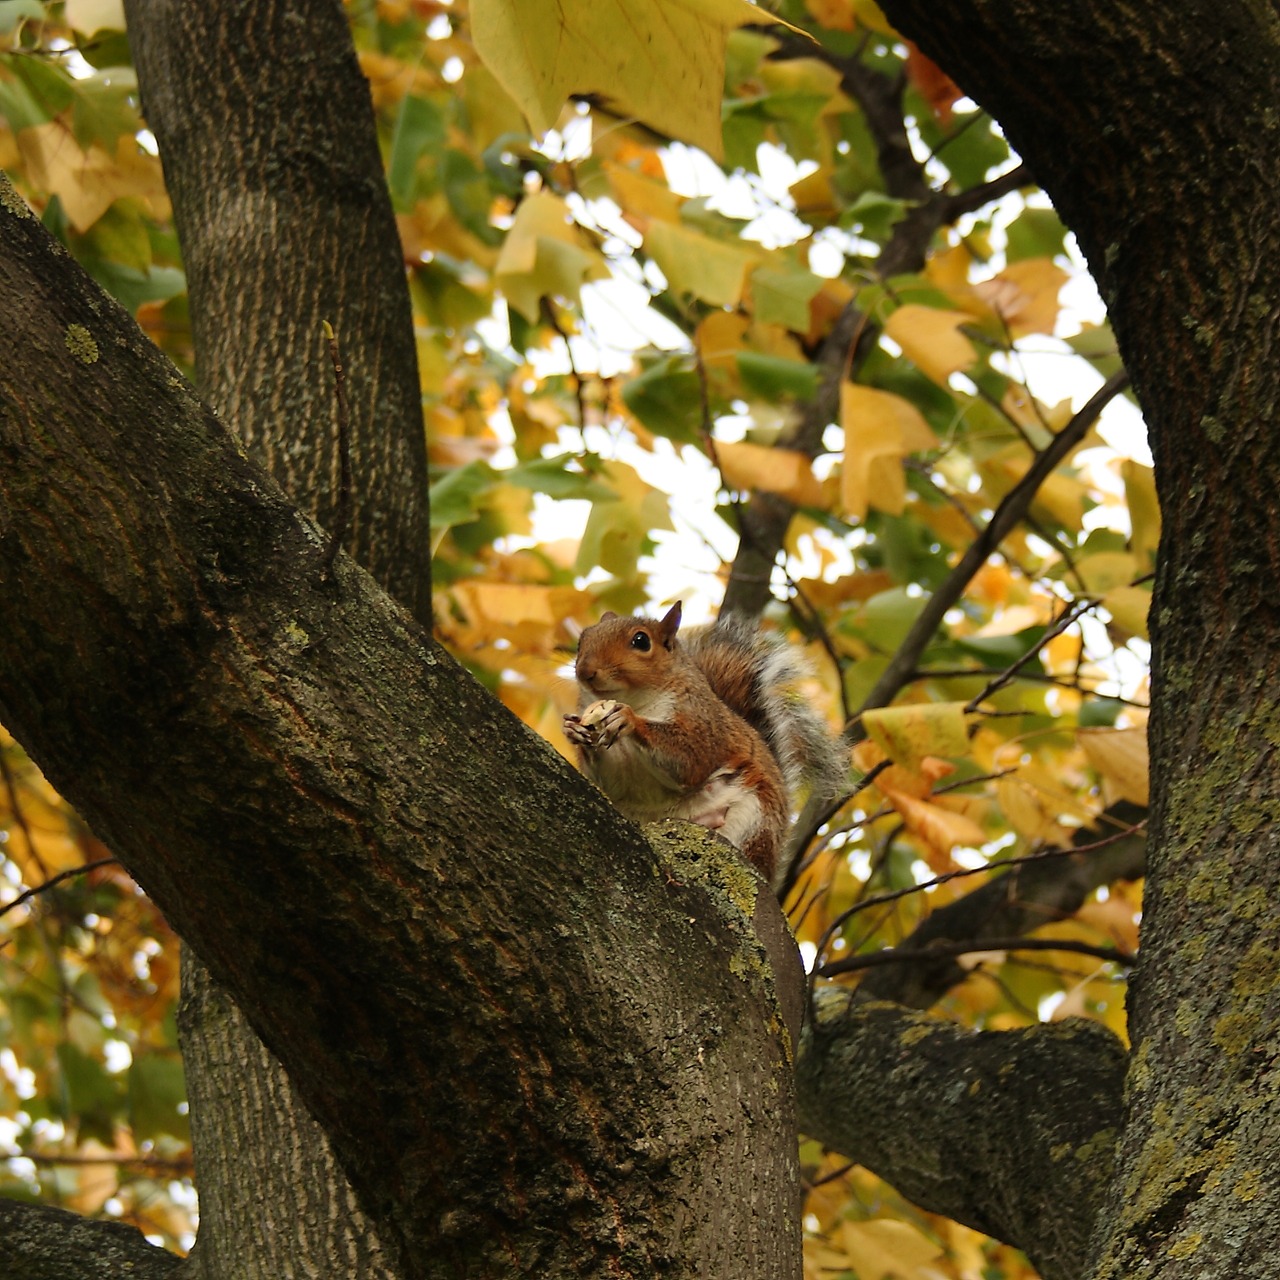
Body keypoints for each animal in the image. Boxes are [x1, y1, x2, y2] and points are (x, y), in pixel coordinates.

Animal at [560, 604, 839, 885]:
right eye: (582, 639)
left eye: (641, 641)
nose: (585, 671)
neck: (636, 699)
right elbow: (611, 780)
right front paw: (575, 731)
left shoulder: (704, 723)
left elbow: (691, 758)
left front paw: (630, 719)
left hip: (755, 820)